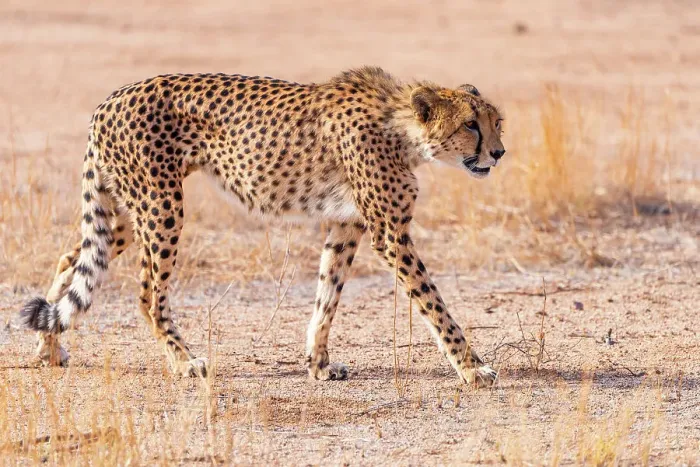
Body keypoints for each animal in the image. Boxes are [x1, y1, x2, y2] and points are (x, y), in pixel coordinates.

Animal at [20, 66, 506, 387]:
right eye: (470, 125)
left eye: (496, 122)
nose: (499, 153)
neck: (403, 129)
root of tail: (110, 99)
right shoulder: (389, 234)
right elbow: (433, 304)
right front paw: (471, 366)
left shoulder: (345, 224)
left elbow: (327, 296)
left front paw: (318, 364)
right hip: (161, 207)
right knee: (147, 293)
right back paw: (184, 362)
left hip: (126, 208)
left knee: (73, 258)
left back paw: (49, 346)